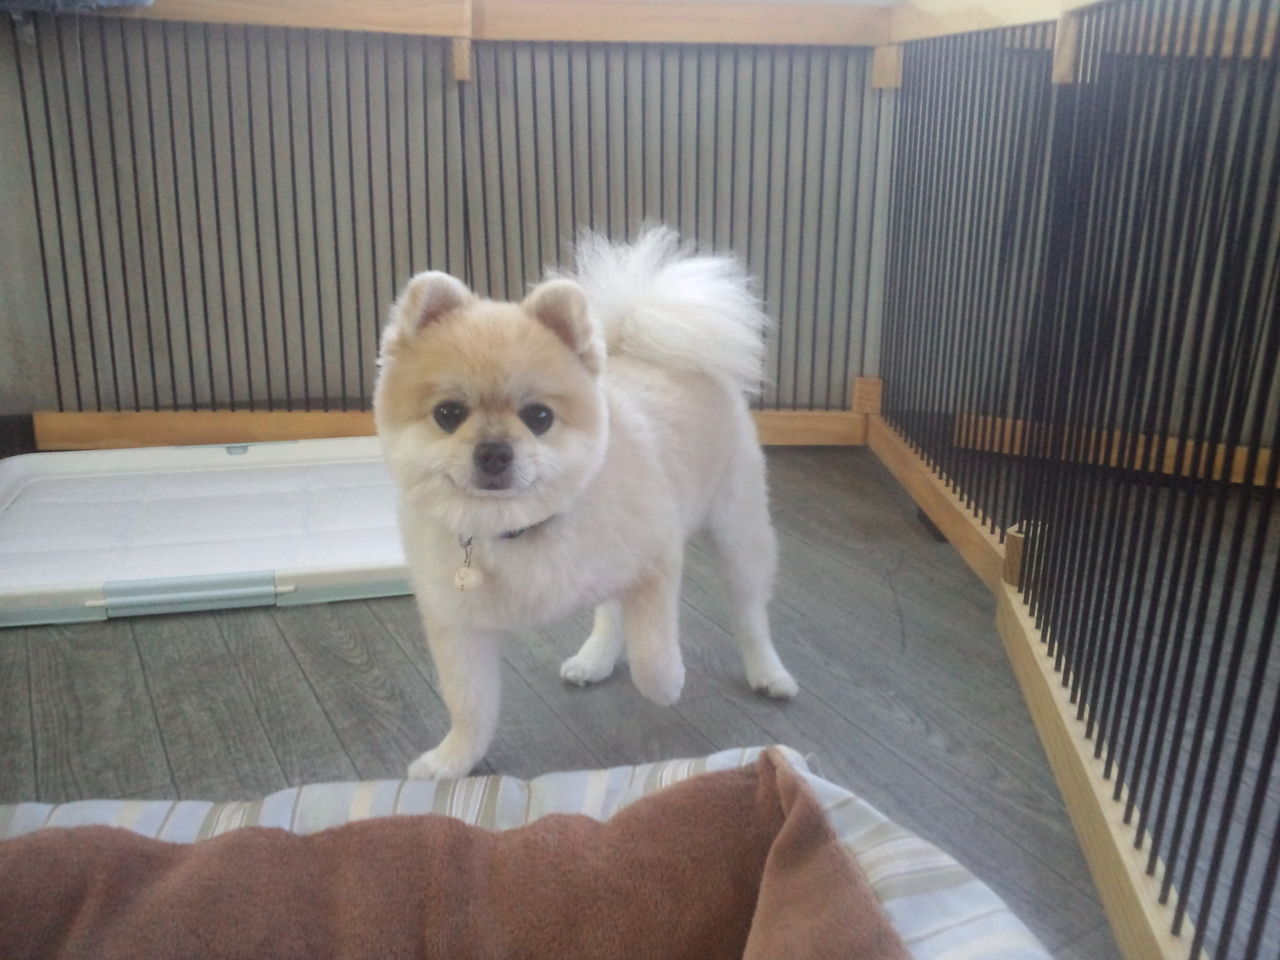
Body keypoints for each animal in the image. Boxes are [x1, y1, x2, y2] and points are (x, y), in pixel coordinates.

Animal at [374, 228, 797, 779]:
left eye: (539, 417)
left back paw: (768, 672)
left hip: (739, 531)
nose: (493, 451)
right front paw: (452, 761)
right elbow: (470, 704)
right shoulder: (459, 625)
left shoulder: (656, 561)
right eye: (448, 414)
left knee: (749, 613)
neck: (520, 527)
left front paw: (668, 684)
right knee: (612, 610)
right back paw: (595, 658)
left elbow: (653, 651)